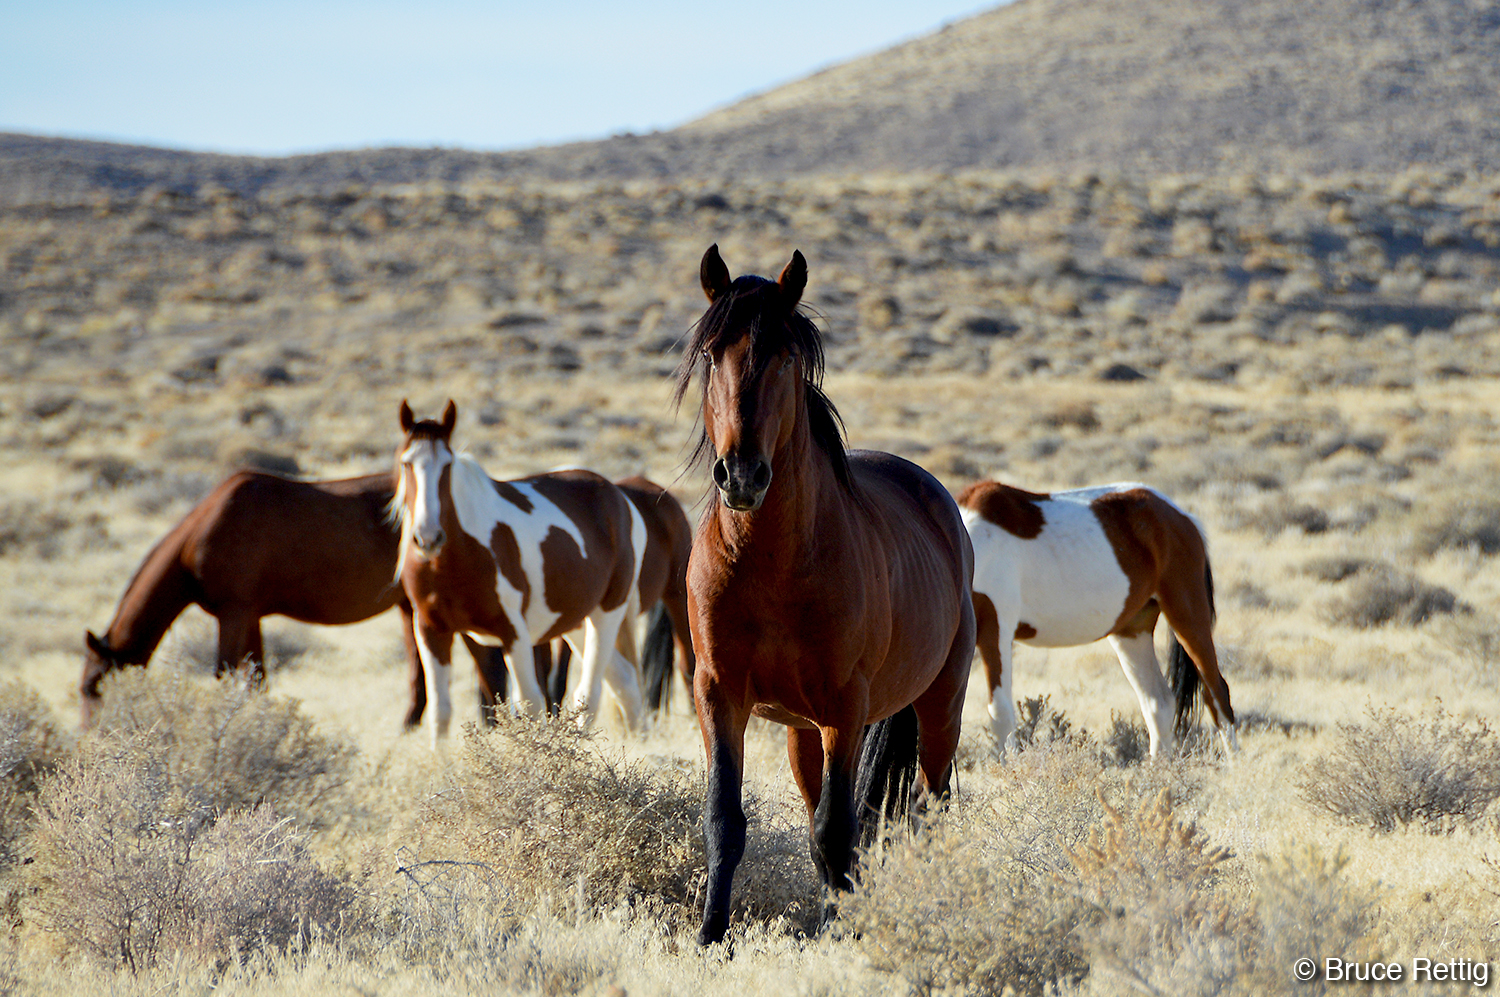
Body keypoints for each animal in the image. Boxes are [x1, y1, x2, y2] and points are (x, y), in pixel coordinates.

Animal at [81, 470, 507, 728]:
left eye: (94, 689)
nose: (92, 741)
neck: (201, 537)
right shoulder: (250, 616)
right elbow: (256, 679)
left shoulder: (234, 613)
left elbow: (225, 673)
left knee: (486, 661)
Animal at [392, 400, 648, 745]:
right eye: (406, 463)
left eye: (447, 465)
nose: (428, 537)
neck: (454, 558)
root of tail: (620, 498)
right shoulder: (432, 630)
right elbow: (441, 713)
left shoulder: (513, 632)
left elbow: (530, 705)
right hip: (574, 620)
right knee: (625, 681)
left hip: (606, 614)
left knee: (589, 693)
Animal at [679, 245, 976, 945]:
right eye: (711, 354)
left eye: (785, 357)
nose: (742, 475)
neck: (772, 563)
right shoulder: (718, 693)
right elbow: (725, 821)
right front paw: (710, 938)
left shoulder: (845, 705)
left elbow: (837, 833)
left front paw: (843, 938)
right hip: (801, 733)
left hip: (939, 707)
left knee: (929, 808)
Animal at [956, 479, 1237, 757]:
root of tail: (1183, 518)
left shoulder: (996, 631)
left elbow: (1000, 715)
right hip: (1132, 631)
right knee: (1159, 703)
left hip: (1187, 616)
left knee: (1217, 695)